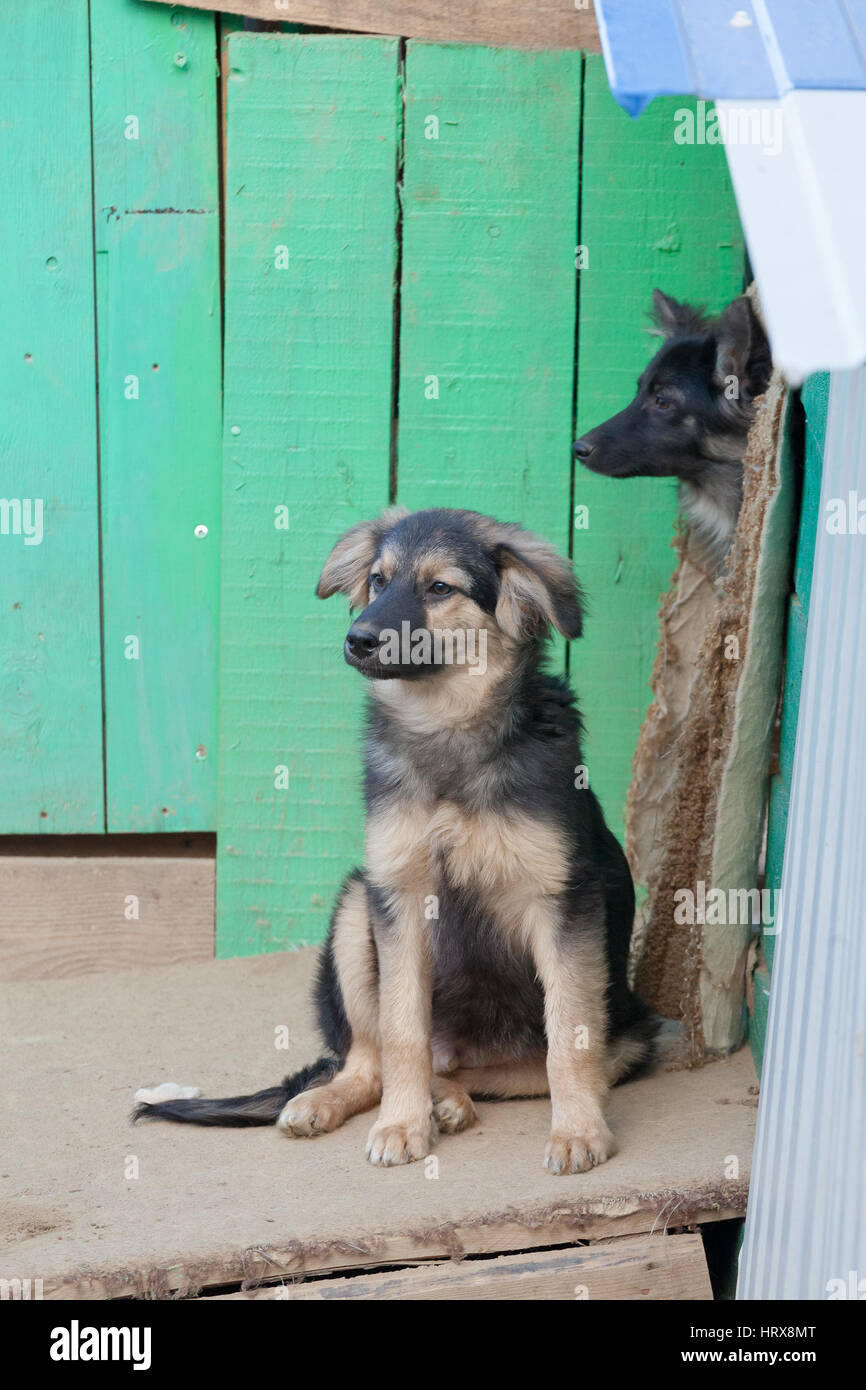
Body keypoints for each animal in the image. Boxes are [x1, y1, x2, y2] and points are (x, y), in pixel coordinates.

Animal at [135, 511, 653, 1173]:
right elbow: (402, 1029)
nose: (357, 639)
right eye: (378, 581)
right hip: (358, 903)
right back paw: (341, 1099)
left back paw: (449, 1099)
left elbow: (568, 1037)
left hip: (630, 1037)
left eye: (440, 588)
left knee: (518, 1067)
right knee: (373, 1059)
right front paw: (402, 1125)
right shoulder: (399, 891)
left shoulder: (562, 899)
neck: (447, 725)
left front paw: (579, 1132)